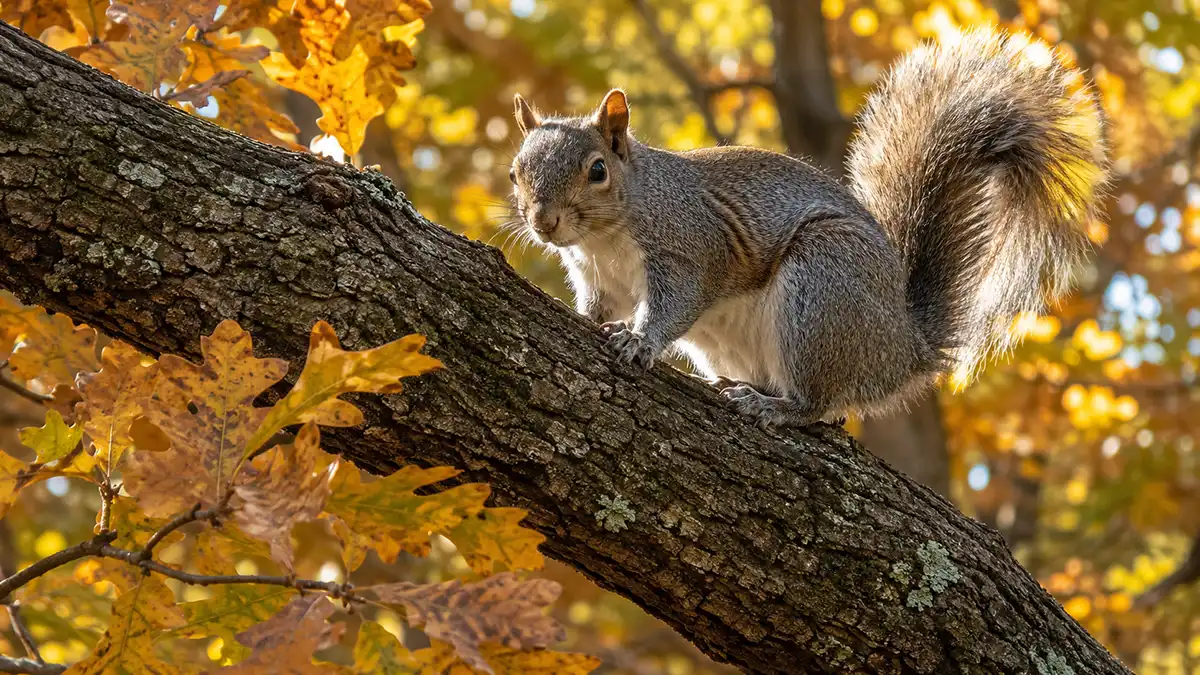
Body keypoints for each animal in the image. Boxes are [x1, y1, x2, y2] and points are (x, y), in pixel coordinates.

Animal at [508, 28, 1108, 429]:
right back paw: (737, 384)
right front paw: (590, 320)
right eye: (515, 172)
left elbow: (675, 304)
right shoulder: (596, 275)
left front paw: (639, 340)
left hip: (822, 291)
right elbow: (598, 305)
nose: (543, 222)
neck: (604, 239)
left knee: (817, 405)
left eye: (597, 171)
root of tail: (904, 348)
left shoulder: (688, 245)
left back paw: (774, 406)